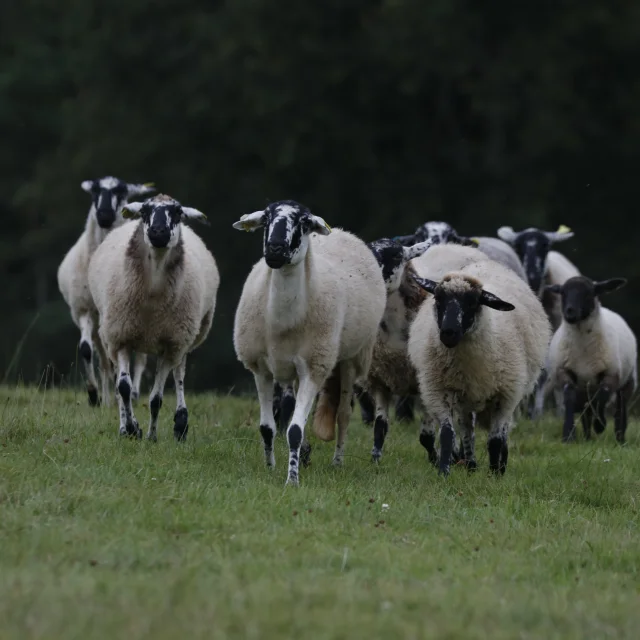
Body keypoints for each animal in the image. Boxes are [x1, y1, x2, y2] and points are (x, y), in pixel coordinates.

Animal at [57, 175, 155, 404]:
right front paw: (93, 395)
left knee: (140, 359)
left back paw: (133, 394)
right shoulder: (84, 310)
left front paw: (120, 394)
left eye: (121, 192)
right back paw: (109, 398)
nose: (104, 214)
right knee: (103, 359)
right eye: (95, 192)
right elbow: (86, 350)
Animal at [87, 195, 219, 440]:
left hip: (184, 338)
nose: (158, 231)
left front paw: (152, 436)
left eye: (177, 212)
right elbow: (124, 388)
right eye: (145, 211)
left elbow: (156, 399)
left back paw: (181, 423)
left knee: (179, 372)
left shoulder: (171, 344)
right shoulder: (120, 337)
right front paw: (131, 428)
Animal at [234, 200, 384, 484]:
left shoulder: (315, 368)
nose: (275, 249)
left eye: (303, 222)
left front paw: (291, 480)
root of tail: (340, 231)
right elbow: (267, 427)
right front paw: (270, 467)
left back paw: (337, 462)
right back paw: (304, 456)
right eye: (266, 218)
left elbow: (294, 430)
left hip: (350, 357)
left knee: (344, 415)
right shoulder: (261, 369)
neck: (283, 320)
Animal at [410, 256, 552, 476]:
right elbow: (447, 434)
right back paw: (470, 465)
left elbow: (495, 440)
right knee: (468, 430)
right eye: (438, 300)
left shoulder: (505, 396)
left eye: (472, 302)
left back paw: (499, 466)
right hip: (465, 398)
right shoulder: (439, 390)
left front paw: (494, 474)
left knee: (502, 432)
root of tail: (489, 263)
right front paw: (444, 472)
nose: (448, 333)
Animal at [544, 276, 636, 444]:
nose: (570, 311)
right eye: (563, 293)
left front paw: (600, 425)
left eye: (589, 293)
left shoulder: (610, 374)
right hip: (584, 389)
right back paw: (587, 437)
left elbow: (603, 396)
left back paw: (620, 439)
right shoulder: (564, 372)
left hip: (627, 381)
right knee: (586, 412)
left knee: (620, 408)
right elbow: (569, 398)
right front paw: (568, 436)